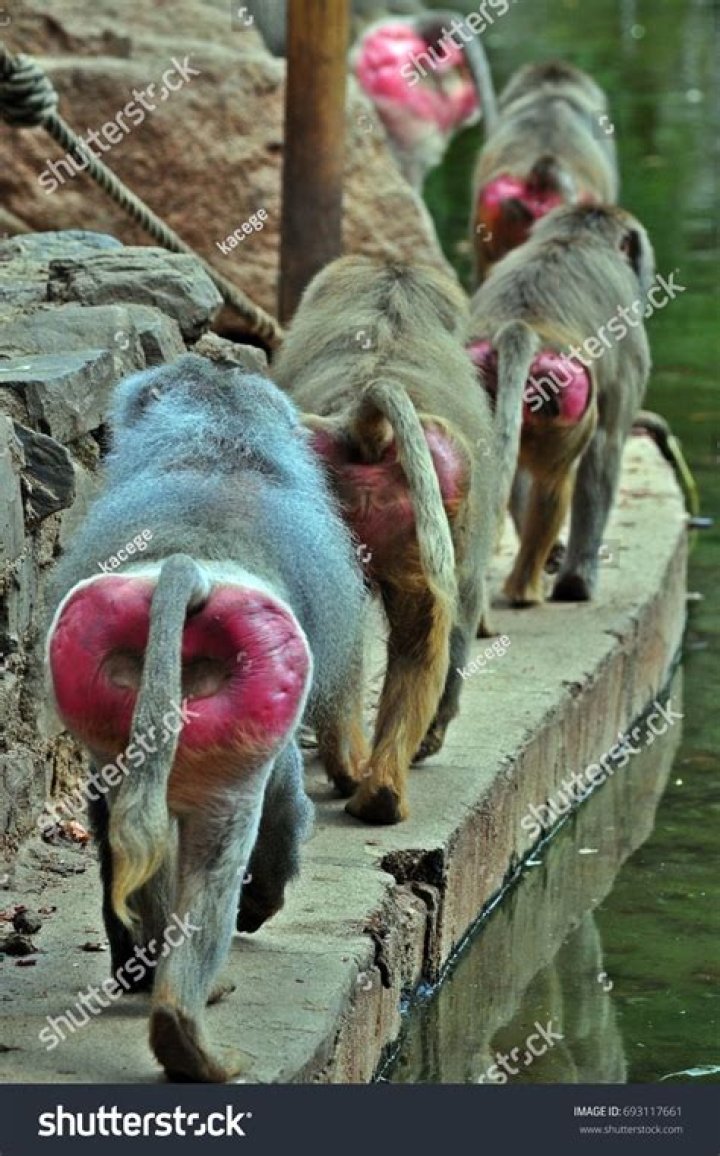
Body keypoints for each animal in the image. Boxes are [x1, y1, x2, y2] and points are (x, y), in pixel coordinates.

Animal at [45, 355, 366, 1082]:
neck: (221, 449)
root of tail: (185, 574)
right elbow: (286, 801)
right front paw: (263, 902)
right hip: (241, 721)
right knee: (221, 850)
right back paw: (188, 1029)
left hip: (111, 701)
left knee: (128, 830)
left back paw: (147, 978)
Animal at [467, 203, 655, 607]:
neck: (572, 236)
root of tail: (517, 328)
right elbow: (605, 447)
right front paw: (577, 583)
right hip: (563, 393)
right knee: (556, 479)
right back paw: (525, 590)